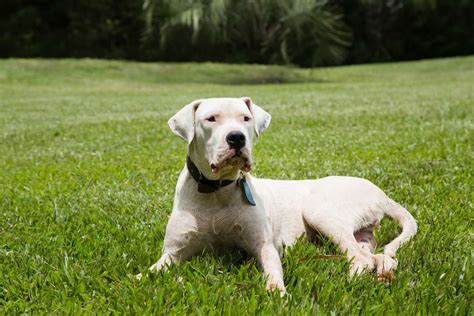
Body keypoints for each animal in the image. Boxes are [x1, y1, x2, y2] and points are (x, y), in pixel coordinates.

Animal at [138, 98, 418, 294]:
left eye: (246, 118)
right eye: (211, 119)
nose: (237, 138)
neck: (217, 191)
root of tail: (380, 192)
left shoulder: (265, 246)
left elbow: (273, 272)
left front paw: (278, 293)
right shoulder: (172, 253)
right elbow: (151, 271)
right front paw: (137, 279)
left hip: (320, 212)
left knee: (362, 259)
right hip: (358, 230)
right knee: (376, 255)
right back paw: (382, 272)